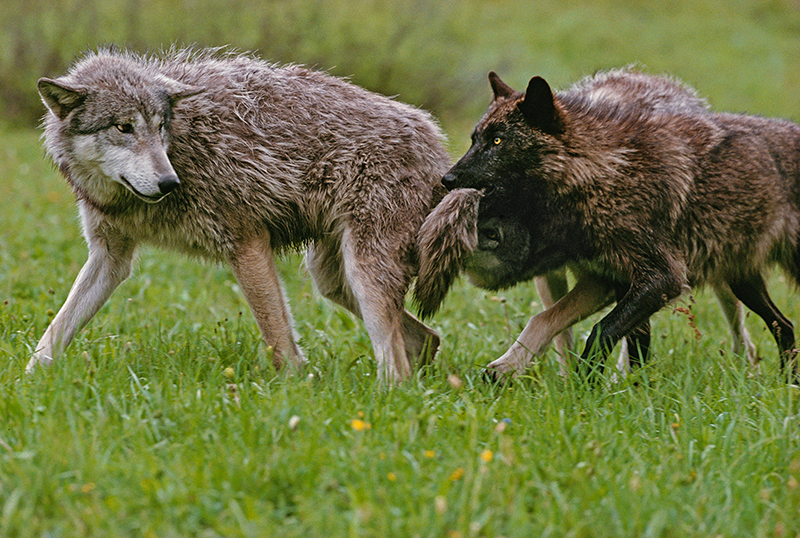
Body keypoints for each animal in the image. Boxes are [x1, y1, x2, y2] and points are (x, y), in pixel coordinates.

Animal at [440, 67, 796, 378]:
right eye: (474, 139)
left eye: (497, 141)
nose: (446, 179)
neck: (602, 176)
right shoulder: (613, 279)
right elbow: (569, 328)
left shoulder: (661, 279)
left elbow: (601, 331)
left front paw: (588, 386)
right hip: (741, 279)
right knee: (785, 324)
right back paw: (788, 383)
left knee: (756, 331)